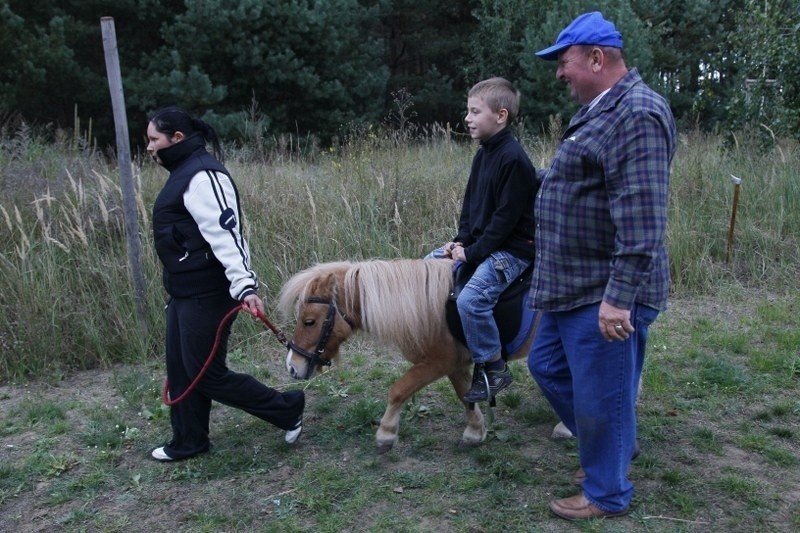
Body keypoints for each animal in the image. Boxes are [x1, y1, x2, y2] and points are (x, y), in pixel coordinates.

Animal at [276, 258, 536, 454]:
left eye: (309, 321)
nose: (292, 366)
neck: (428, 309)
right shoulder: (455, 365)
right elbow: (465, 396)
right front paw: (474, 433)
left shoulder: (437, 363)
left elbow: (398, 390)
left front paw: (386, 434)